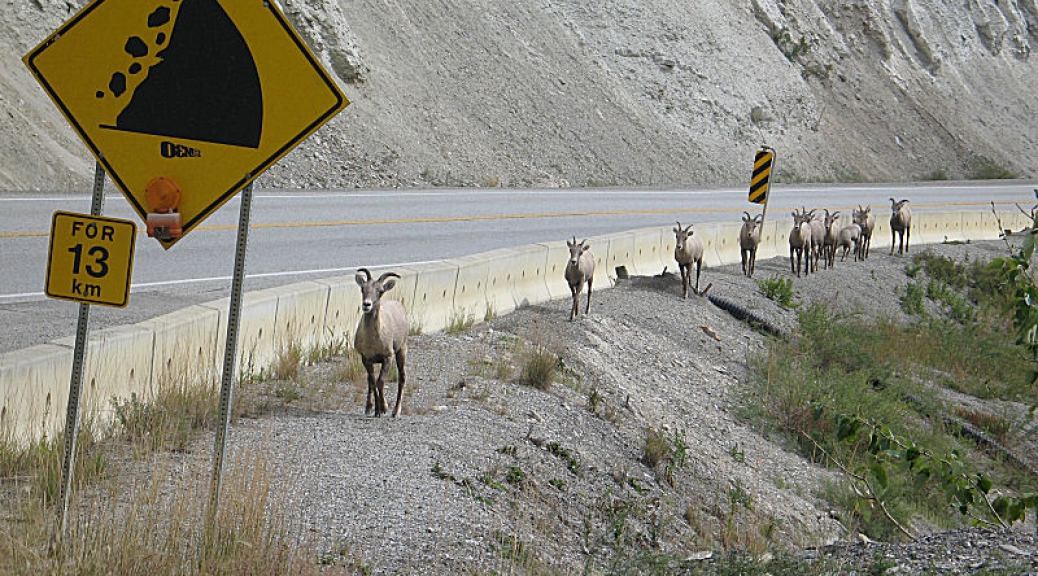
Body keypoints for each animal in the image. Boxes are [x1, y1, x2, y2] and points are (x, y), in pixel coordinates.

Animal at [354, 267, 406, 417]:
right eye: (363, 288)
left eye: (381, 291)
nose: (366, 304)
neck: (373, 341)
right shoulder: (366, 359)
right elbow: (372, 382)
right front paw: (376, 410)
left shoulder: (388, 357)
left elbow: (380, 382)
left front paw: (384, 408)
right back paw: (368, 408)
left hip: (402, 350)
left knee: (402, 378)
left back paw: (395, 412)